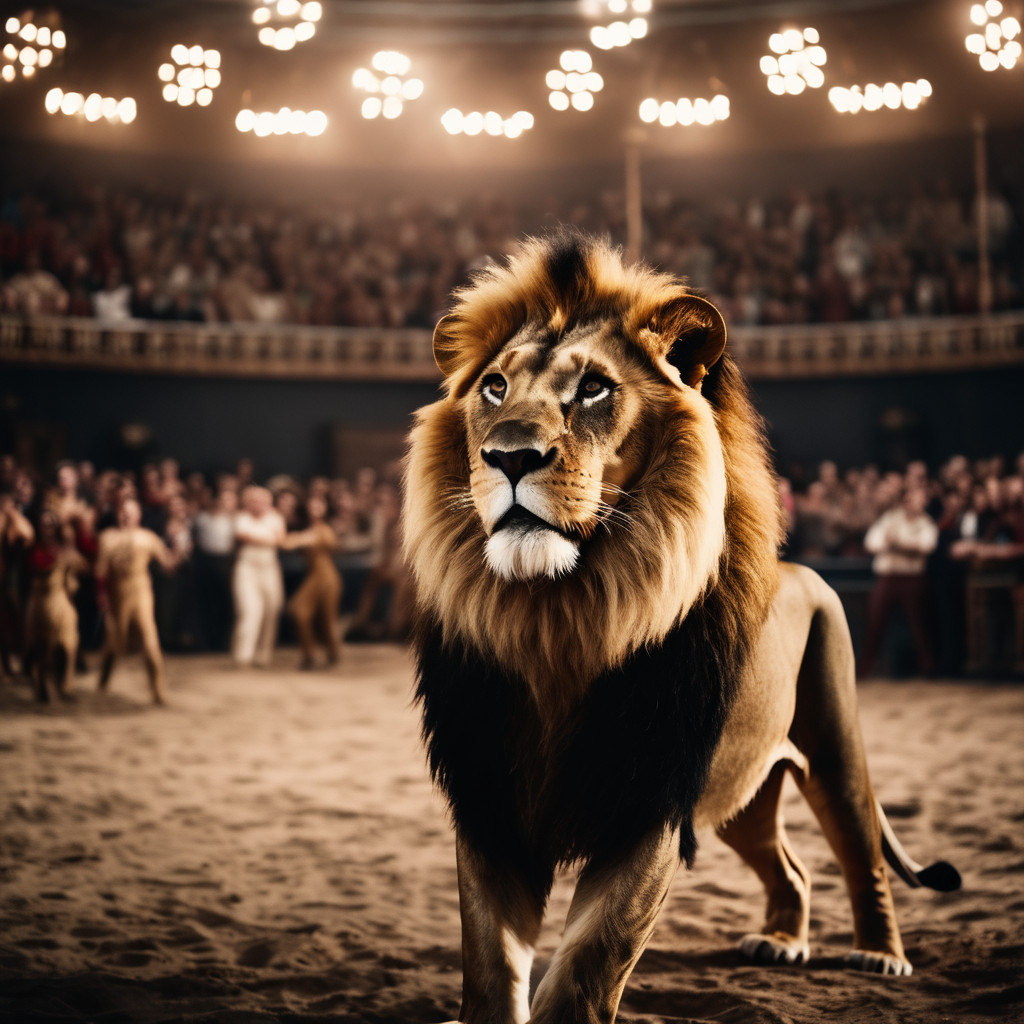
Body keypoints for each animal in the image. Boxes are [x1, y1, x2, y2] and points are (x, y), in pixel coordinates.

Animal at [404, 233, 959, 1024]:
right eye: (495, 388)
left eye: (595, 388)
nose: (509, 457)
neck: (556, 620)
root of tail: (808, 573)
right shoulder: (489, 800)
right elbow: (488, 969)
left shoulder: (651, 803)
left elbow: (586, 971)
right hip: (743, 790)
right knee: (789, 864)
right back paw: (780, 940)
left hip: (834, 742)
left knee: (861, 853)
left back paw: (881, 955)